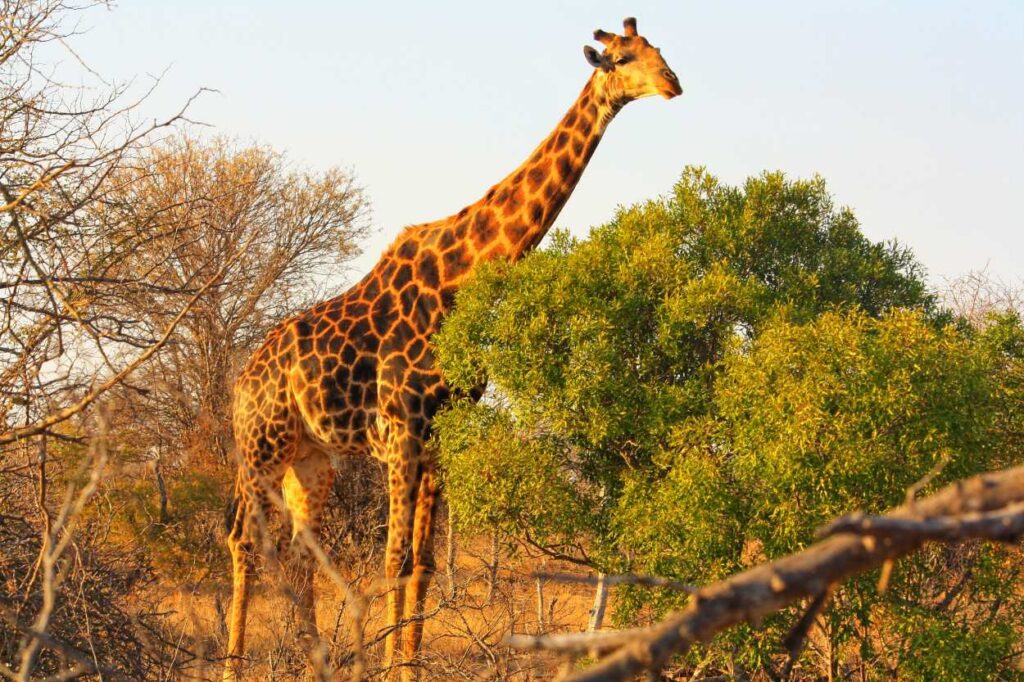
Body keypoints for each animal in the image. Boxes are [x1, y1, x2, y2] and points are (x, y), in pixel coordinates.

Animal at [224, 17, 681, 681]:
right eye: (621, 60)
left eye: (658, 50)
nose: (672, 83)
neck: (460, 280)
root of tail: (242, 379)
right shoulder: (402, 432)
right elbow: (393, 559)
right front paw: (387, 664)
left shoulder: (440, 435)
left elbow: (423, 563)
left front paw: (407, 666)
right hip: (259, 446)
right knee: (243, 540)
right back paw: (233, 665)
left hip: (311, 460)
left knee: (299, 553)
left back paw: (315, 664)